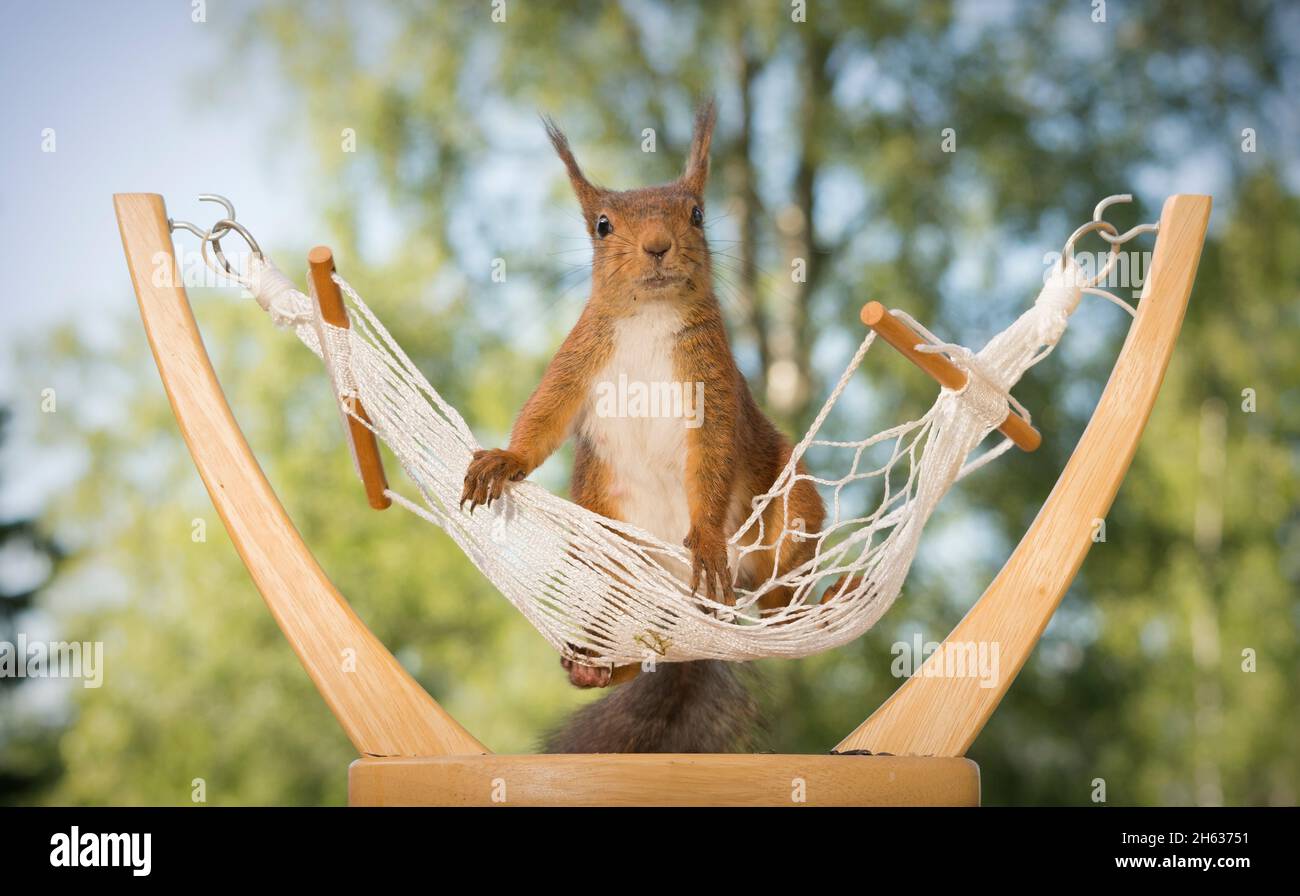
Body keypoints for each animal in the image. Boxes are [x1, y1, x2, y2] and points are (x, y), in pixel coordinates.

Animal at [460, 100, 826, 753]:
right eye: (602, 226)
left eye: (698, 214)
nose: (658, 246)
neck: (649, 318)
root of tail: (696, 624)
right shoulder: (578, 361)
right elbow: (543, 418)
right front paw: (505, 461)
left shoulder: (713, 390)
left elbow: (711, 460)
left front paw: (704, 537)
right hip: (607, 569)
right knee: (634, 649)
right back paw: (595, 666)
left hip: (790, 501)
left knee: (780, 572)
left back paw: (788, 613)